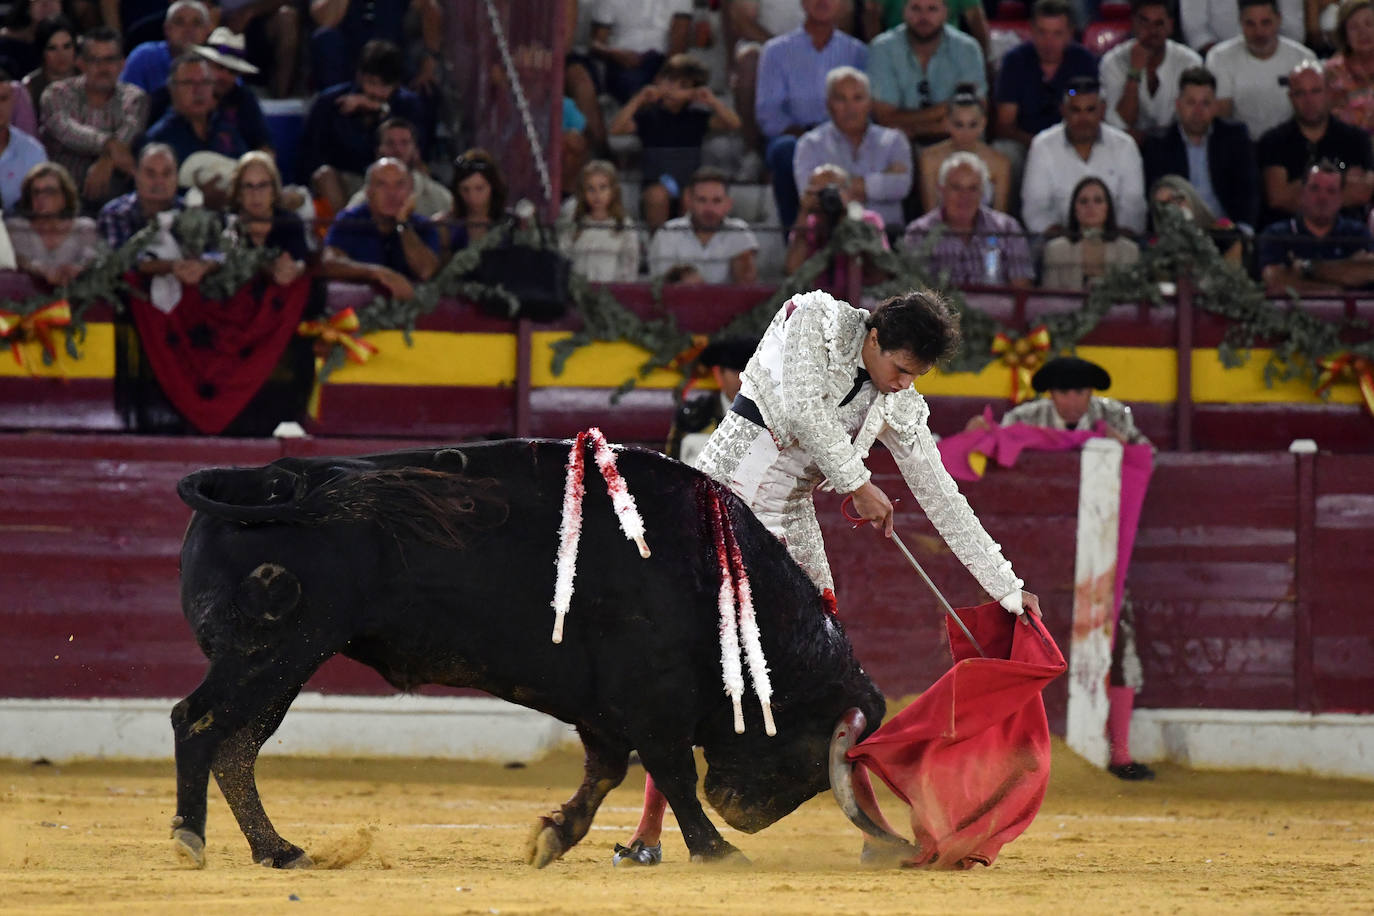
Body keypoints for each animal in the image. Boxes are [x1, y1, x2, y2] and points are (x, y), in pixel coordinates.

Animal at [171, 439, 884, 873]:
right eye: (811, 747)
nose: (746, 815)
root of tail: (258, 478)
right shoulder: (650, 699)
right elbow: (671, 770)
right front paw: (716, 849)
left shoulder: (603, 706)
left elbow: (606, 772)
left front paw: (553, 835)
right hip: (271, 653)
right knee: (196, 723)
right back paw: (190, 838)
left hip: (284, 662)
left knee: (236, 749)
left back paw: (277, 850)